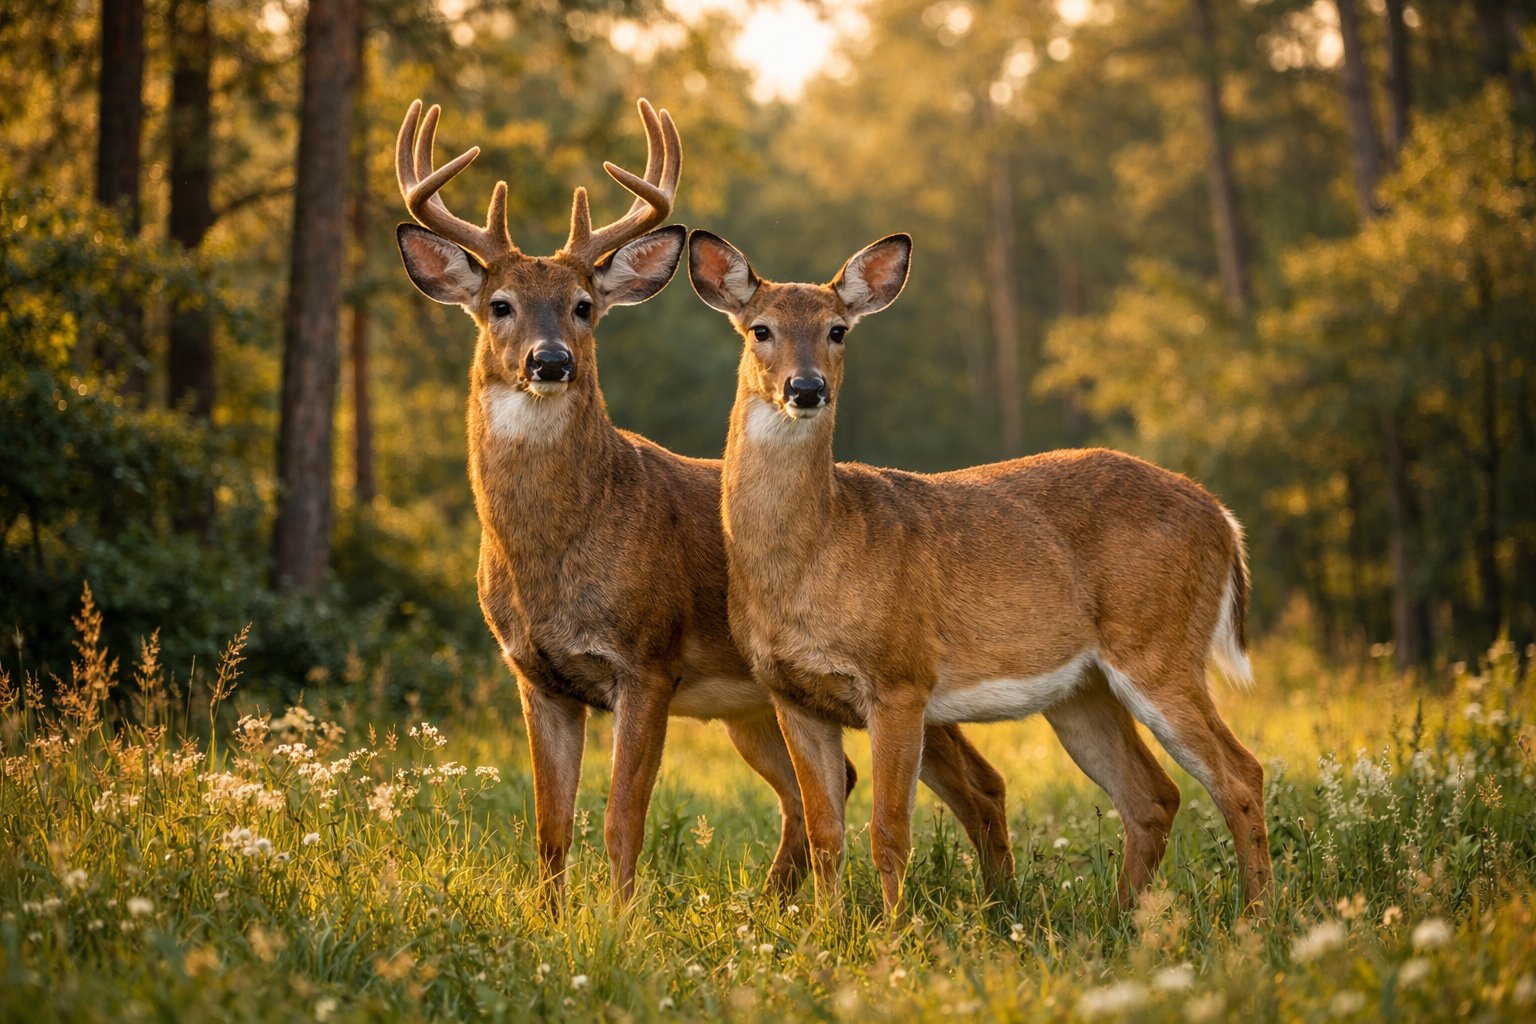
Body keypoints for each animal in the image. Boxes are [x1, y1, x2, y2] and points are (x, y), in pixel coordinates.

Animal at [391, 99, 1015, 906]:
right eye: (499, 305)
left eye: (584, 307)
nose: (550, 361)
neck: (554, 554)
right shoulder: (536, 676)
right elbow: (550, 826)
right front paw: (551, 917)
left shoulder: (647, 659)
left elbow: (622, 815)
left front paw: (617, 921)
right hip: (755, 706)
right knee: (832, 786)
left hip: (898, 682)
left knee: (980, 783)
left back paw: (996, 902)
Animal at [688, 228, 1272, 919]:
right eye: (761, 329)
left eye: (837, 330)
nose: (806, 389)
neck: (815, 552)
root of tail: (1223, 519)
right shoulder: (791, 694)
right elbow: (825, 830)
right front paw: (828, 930)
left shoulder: (901, 678)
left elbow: (889, 829)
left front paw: (891, 934)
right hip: (1083, 689)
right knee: (1153, 794)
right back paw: (1123, 918)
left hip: (1159, 646)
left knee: (1240, 774)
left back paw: (1259, 916)